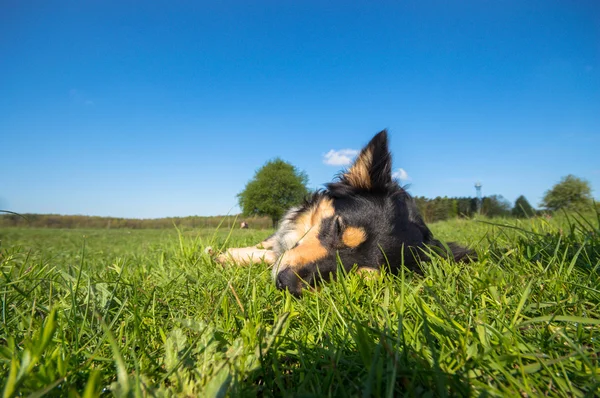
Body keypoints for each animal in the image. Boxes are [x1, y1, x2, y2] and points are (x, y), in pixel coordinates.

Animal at [216, 131, 474, 296]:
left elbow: (272, 254)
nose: (285, 284)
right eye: (338, 227)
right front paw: (227, 255)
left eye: (358, 275)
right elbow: (267, 246)